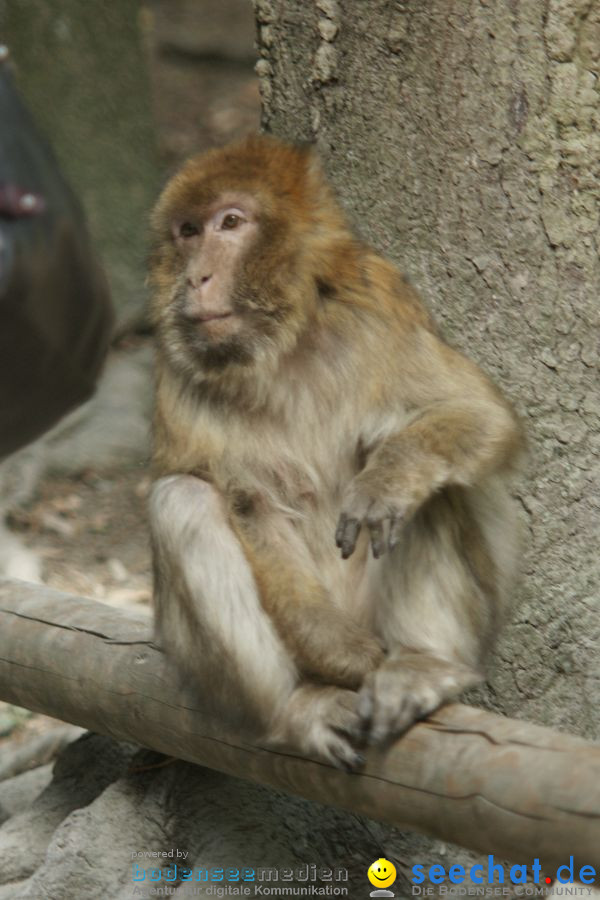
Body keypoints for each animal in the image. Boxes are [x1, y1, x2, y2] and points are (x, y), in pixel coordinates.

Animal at [148, 134, 524, 768]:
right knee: (181, 499)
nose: (196, 277)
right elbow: (249, 505)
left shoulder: (376, 303)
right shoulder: (183, 374)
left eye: (230, 223)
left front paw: (387, 483)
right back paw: (295, 706)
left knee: (432, 486)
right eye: (188, 232)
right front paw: (341, 658)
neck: (283, 345)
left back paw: (421, 665)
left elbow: (477, 413)